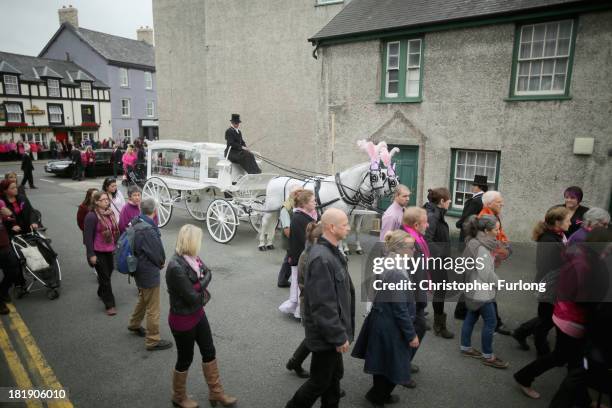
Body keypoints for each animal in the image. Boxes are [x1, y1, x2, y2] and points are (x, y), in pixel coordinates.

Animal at [256, 162, 396, 250]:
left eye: (381, 176)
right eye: (375, 176)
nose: (381, 192)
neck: (340, 189)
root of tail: (274, 179)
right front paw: (342, 250)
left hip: (276, 209)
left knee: (273, 223)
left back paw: (269, 243)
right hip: (270, 209)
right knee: (265, 223)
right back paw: (262, 244)